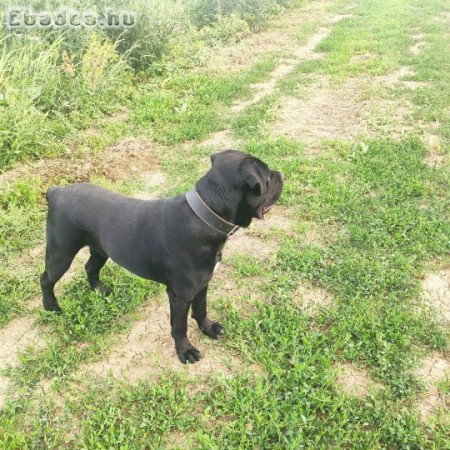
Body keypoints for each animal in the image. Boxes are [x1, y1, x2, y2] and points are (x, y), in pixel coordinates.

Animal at [40, 149, 284, 364]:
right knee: (46, 279)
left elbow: (201, 308)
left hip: (100, 248)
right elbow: (179, 326)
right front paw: (185, 351)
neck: (205, 215)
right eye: (267, 176)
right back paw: (51, 307)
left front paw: (207, 328)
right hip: (61, 253)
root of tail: (56, 191)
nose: (280, 174)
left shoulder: (202, 283)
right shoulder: (180, 295)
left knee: (90, 268)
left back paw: (100, 291)